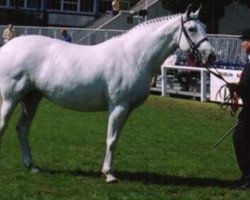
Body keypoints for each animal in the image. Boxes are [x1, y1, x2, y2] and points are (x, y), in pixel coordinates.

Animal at [0, 5, 215, 182]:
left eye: (204, 26)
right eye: (192, 29)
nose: (211, 55)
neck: (134, 56)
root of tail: (8, 47)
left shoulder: (127, 109)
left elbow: (115, 139)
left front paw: (109, 170)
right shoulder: (118, 106)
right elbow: (111, 140)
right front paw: (109, 174)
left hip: (31, 98)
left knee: (22, 129)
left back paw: (31, 166)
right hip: (11, 97)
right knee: (5, 125)